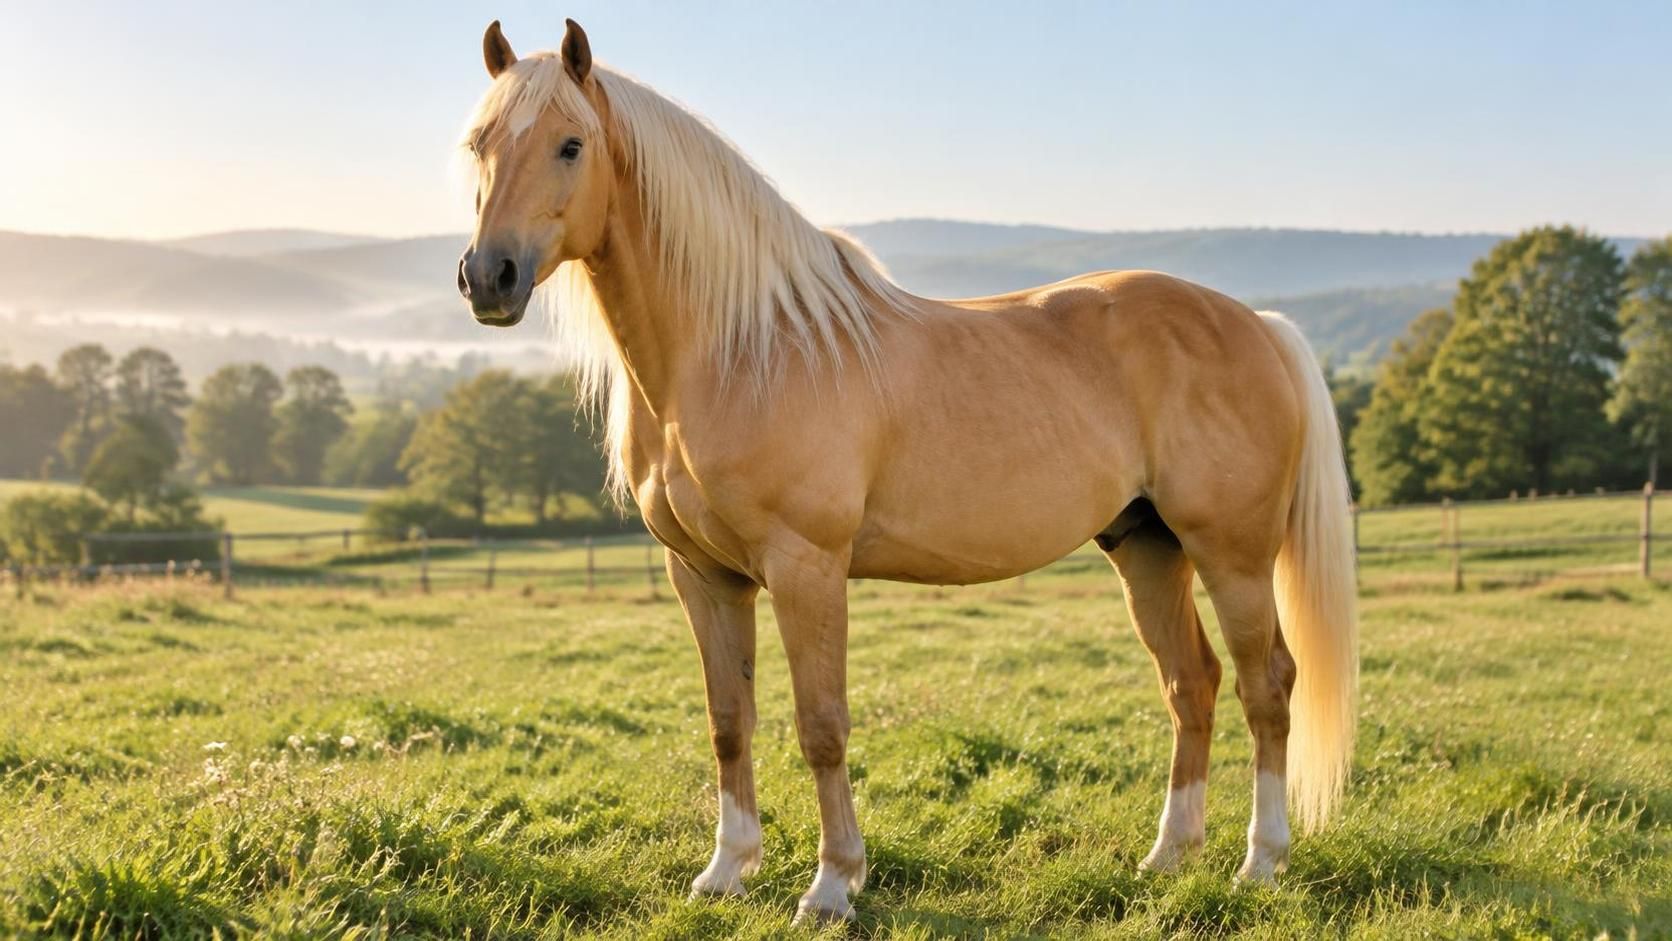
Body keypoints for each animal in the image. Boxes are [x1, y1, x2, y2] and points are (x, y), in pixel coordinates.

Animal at [455, 19, 1358, 924]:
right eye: (478, 144)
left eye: (571, 145)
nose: (488, 277)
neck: (744, 350)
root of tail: (1258, 324)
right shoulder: (704, 575)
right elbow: (728, 719)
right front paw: (726, 871)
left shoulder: (806, 567)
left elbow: (821, 723)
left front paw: (831, 885)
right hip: (1147, 547)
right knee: (1190, 683)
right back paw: (1169, 856)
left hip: (1231, 554)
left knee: (1266, 685)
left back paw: (1261, 862)